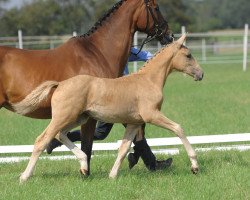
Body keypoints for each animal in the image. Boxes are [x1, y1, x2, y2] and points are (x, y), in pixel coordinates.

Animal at [14, 34, 203, 183]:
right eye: (188, 55)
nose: (201, 74)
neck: (148, 80)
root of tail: (60, 84)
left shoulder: (134, 123)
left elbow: (124, 148)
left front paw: (112, 176)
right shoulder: (152, 115)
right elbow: (178, 128)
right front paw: (194, 166)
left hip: (78, 117)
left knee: (60, 135)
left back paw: (84, 165)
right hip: (63, 117)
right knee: (42, 140)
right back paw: (24, 176)